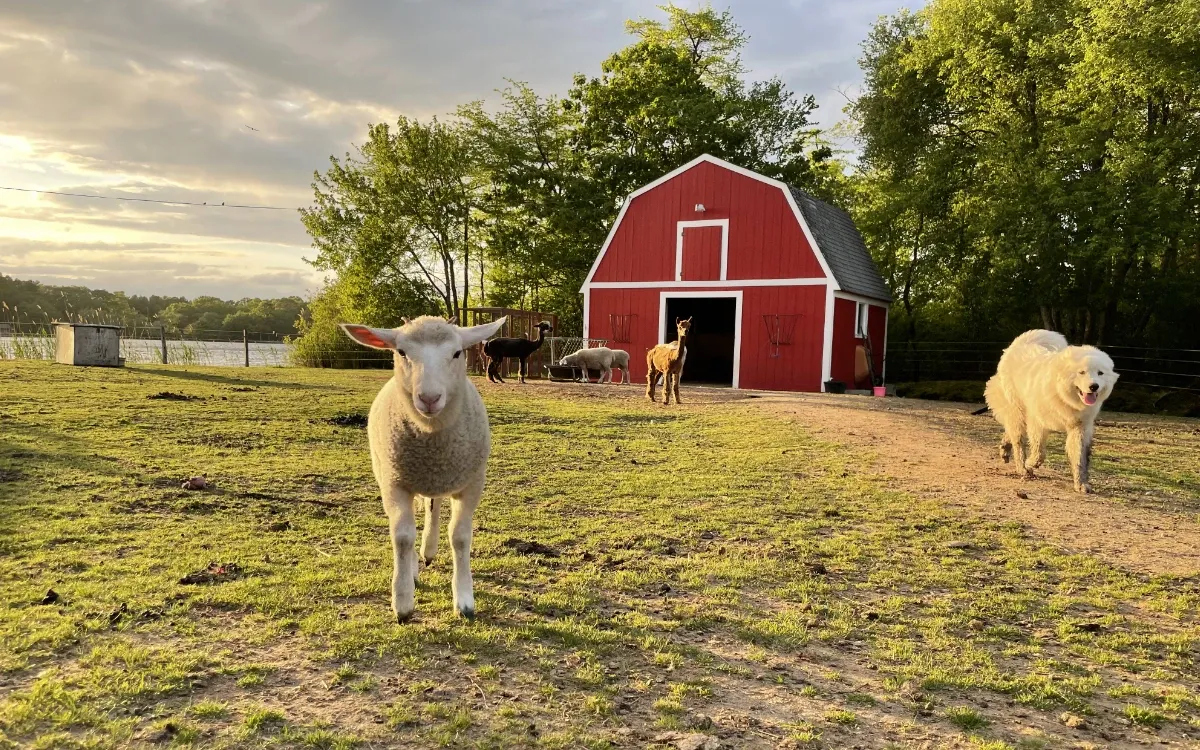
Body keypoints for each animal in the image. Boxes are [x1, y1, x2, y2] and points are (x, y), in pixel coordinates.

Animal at [343, 312, 506, 619]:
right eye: (401, 352)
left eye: (457, 353)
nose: (429, 398)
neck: (432, 437)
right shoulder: (394, 483)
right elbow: (403, 537)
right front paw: (403, 601)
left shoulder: (472, 483)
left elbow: (460, 537)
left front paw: (464, 600)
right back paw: (415, 568)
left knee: (434, 506)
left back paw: (429, 550)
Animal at [984, 326, 1113, 492]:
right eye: (1082, 372)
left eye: (1100, 373)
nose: (1094, 386)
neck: (1062, 395)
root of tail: (1023, 342)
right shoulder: (1037, 422)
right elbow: (1039, 452)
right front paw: (1030, 463)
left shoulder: (1080, 428)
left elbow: (1079, 458)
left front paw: (1081, 484)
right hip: (1017, 409)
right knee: (1018, 440)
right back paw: (1022, 468)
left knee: (1011, 431)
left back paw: (1005, 449)